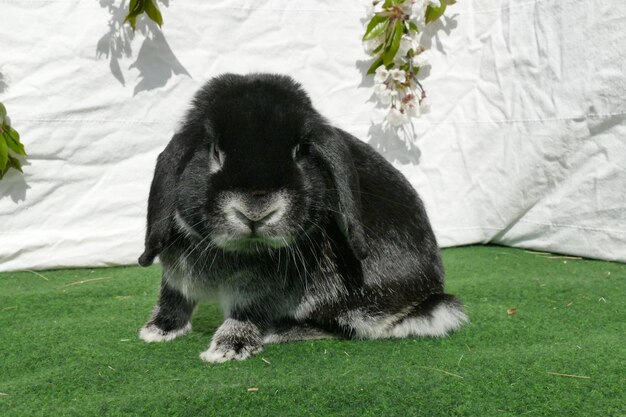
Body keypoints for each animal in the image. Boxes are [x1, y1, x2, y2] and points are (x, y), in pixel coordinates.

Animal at [139, 73, 466, 360]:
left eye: (299, 152)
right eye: (215, 152)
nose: (256, 210)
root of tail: (429, 297)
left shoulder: (259, 293)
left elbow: (246, 315)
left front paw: (228, 349)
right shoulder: (176, 275)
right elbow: (172, 298)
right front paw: (157, 330)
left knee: (342, 327)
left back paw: (280, 331)